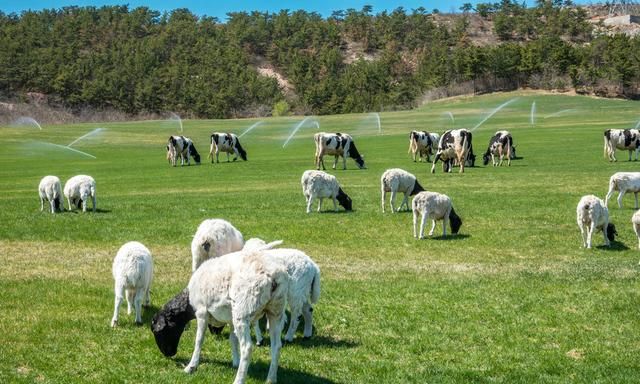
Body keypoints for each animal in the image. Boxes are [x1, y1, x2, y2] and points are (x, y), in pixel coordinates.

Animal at [151, 249, 288, 384]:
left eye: (158, 332)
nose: (169, 354)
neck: (188, 302)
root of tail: (273, 277)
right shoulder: (231, 320)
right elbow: (233, 340)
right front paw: (235, 362)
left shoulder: (202, 312)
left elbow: (199, 340)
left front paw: (191, 367)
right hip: (276, 311)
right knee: (276, 346)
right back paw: (270, 379)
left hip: (243, 310)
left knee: (247, 347)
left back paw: (239, 379)